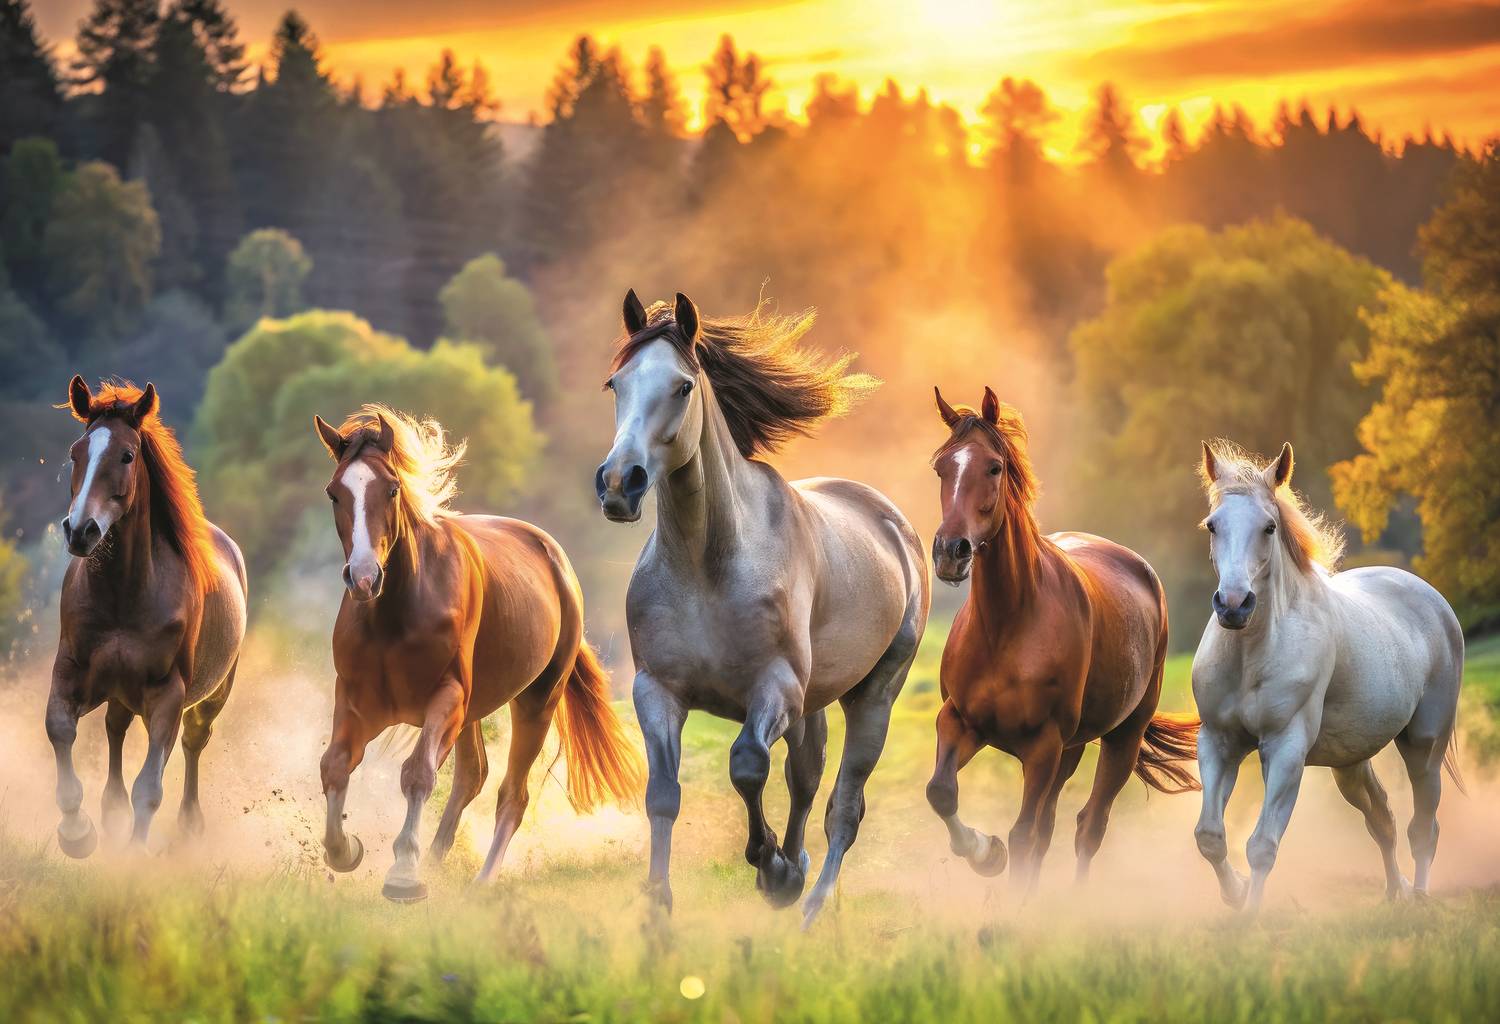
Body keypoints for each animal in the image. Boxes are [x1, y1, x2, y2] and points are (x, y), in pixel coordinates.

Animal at [47, 377, 247, 857]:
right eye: (75, 453)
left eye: (126, 455)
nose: (80, 530)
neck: (125, 595)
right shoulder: (70, 670)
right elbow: (60, 731)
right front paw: (77, 833)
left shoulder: (167, 696)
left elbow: (150, 786)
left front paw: (135, 855)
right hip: (120, 693)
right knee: (115, 729)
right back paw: (110, 813)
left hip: (211, 696)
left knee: (192, 743)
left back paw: (189, 825)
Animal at [312, 405, 643, 901]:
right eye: (335, 493)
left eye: (391, 489)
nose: (365, 577)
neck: (396, 613)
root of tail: (557, 561)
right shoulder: (357, 702)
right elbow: (335, 765)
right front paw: (346, 849)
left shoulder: (445, 699)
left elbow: (418, 773)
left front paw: (403, 875)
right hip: (472, 713)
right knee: (473, 775)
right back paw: (435, 860)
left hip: (534, 703)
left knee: (512, 795)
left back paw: (481, 880)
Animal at [595, 290, 930, 926]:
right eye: (615, 383)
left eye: (682, 386)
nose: (620, 483)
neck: (709, 566)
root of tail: (893, 523)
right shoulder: (657, 690)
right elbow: (663, 795)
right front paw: (658, 909)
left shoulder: (774, 689)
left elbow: (747, 764)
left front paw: (769, 866)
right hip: (813, 704)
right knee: (807, 779)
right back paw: (796, 871)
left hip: (873, 695)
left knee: (844, 807)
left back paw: (808, 904)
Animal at [924, 387, 1199, 896]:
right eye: (942, 468)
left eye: (994, 467)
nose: (951, 552)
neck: (1007, 625)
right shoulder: (960, 722)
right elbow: (942, 793)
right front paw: (986, 854)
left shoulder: (1042, 746)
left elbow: (1022, 832)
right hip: (1071, 750)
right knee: (1051, 825)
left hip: (1119, 740)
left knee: (1089, 825)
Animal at [1192, 441, 1465, 911]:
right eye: (1213, 525)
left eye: (1269, 527)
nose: (1233, 605)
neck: (1252, 654)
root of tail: (1430, 597)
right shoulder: (1218, 742)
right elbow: (1210, 836)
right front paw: (1237, 894)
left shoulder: (1285, 748)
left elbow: (1262, 844)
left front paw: (1248, 917)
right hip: (1351, 763)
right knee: (1382, 820)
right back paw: (1395, 893)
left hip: (1423, 746)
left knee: (1422, 828)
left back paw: (1419, 898)